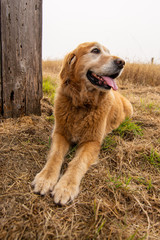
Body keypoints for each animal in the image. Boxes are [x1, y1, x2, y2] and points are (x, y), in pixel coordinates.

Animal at [32, 42, 132, 205]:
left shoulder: (91, 141)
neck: (82, 103)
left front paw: (65, 187)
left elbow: (77, 162)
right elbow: (55, 155)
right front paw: (45, 178)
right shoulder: (60, 133)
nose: (122, 62)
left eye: (108, 52)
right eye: (95, 50)